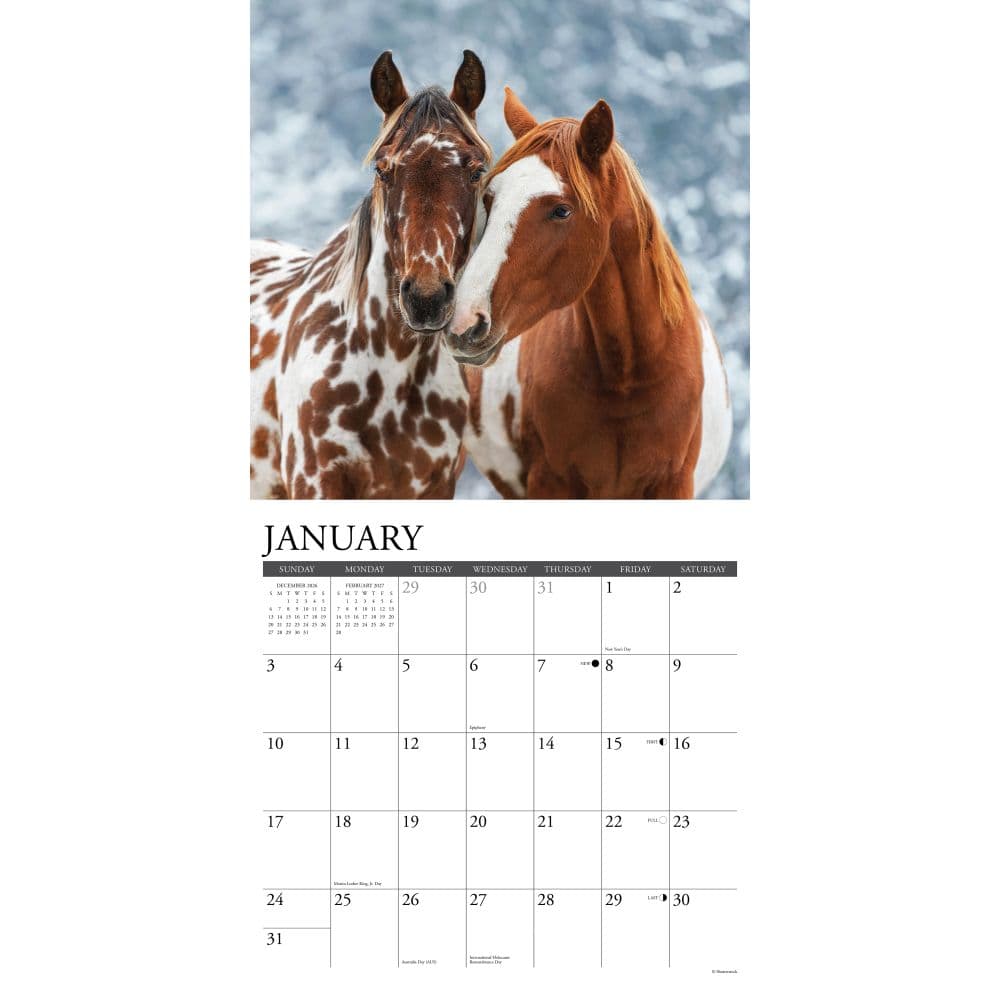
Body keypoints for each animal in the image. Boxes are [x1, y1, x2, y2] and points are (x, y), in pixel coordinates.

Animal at [445, 88, 732, 499]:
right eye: (490, 199)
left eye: (562, 210)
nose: (465, 321)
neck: (626, 380)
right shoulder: (550, 483)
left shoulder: (673, 485)